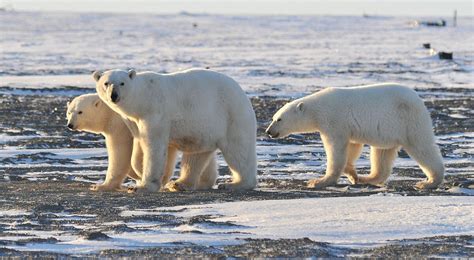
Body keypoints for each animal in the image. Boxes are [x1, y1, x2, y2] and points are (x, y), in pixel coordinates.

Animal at [65, 93, 218, 191]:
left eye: (80, 112)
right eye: (69, 112)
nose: (70, 125)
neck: (111, 111)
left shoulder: (121, 126)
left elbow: (121, 152)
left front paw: (101, 186)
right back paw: (203, 182)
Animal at [91, 68, 256, 192]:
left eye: (122, 83)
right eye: (106, 83)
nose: (114, 95)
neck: (144, 98)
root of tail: (243, 95)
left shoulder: (156, 114)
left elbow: (154, 147)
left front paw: (142, 186)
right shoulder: (135, 122)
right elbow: (143, 147)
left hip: (232, 116)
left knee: (239, 151)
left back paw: (235, 184)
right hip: (205, 129)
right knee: (196, 155)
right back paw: (180, 183)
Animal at [266, 83, 444, 189]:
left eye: (279, 119)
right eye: (273, 117)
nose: (268, 131)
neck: (317, 109)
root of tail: (418, 100)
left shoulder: (334, 120)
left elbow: (336, 149)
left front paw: (318, 181)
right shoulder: (347, 127)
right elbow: (352, 146)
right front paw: (353, 175)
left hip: (408, 121)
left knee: (422, 147)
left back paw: (429, 182)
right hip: (389, 131)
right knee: (382, 154)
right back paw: (367, 178)